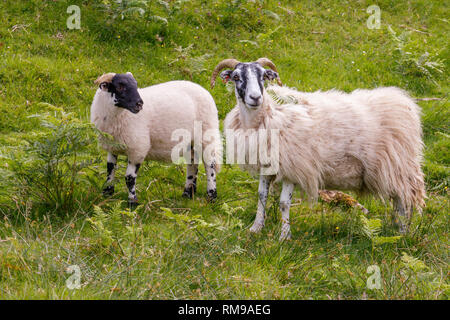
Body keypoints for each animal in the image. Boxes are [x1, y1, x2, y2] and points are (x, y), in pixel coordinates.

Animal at [91, 72, 221, 205]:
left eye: (136, 85)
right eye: (120, 86)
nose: (139, 104)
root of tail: (203, 89)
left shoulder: (137, 149)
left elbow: (129, 178)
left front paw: (132, 202)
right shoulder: (112, 147)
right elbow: (110, 170)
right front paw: (107, 194)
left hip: (206, 134)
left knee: (210, 165)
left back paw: (211, 196)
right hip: (190, 141)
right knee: (192, 162)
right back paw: (187, 194)